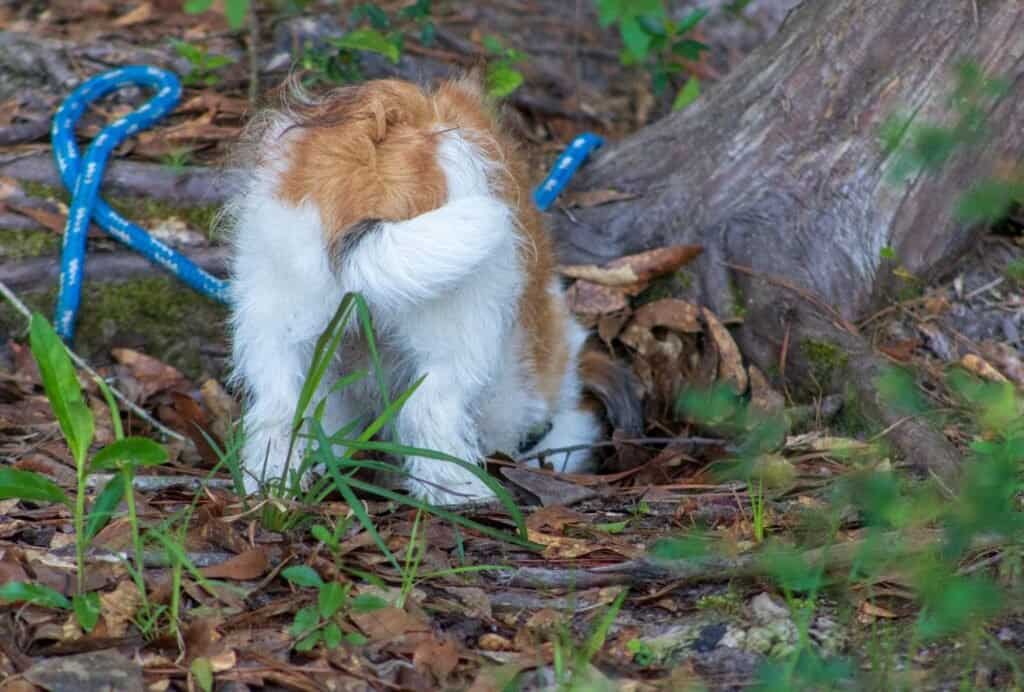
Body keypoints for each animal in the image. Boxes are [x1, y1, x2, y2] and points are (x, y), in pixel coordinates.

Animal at [228, 73, 634, 505]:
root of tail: (372, 154)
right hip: (459, 323)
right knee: (428, 410)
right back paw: (462, 493)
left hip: (276, 311)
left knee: (278, 407)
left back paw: (271, 485)